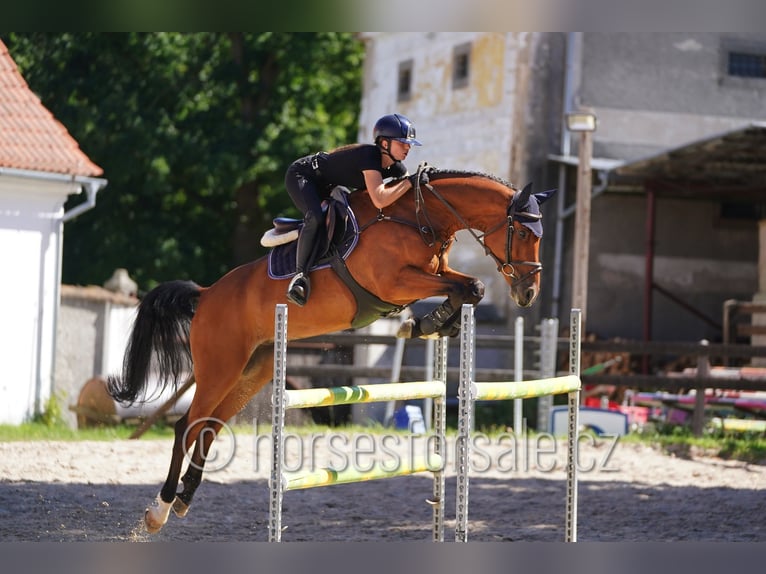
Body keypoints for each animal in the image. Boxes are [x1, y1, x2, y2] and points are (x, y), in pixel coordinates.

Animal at [107, 168, 555, 534]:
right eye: (525, 234)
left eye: (541, 238)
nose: (528, 293)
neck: (418, 217)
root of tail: (206, 294)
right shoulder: (395, 282)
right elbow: (467, 287)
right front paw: (427, 322)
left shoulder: (434, 273)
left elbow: (469, 287)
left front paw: (429, 324)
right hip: (221, 367)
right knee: (187, 426)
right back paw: (160, 509)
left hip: (252, 371)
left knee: (209, 428)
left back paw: (184, 499)